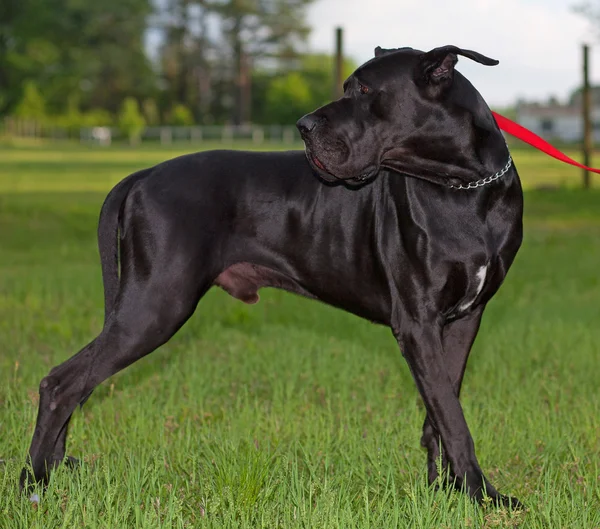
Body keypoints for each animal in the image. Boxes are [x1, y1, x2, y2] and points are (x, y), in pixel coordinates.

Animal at [21, 46, 524, 508]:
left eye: (364, 91)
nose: (304, 126)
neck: (464, 186)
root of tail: (142, 174)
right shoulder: (417, 324)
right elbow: (452, 417)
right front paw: (483, 495)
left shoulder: (462, 320)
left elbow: (441, 407)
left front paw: (447, 491)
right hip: (154, 306)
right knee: (60, 383)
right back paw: (34, 483)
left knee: (76, 382)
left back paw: (54, 469)